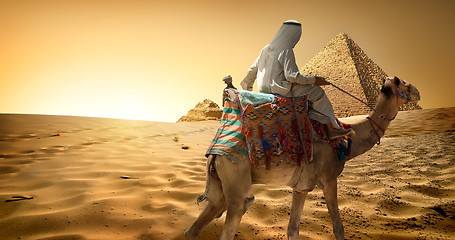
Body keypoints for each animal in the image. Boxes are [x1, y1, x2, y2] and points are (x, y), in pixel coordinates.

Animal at [184, 76, 420, 238]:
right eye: (403, 83)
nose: (417, 92)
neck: (347, 140)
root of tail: (215, 150)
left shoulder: (301, 187)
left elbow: (293, 229)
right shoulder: (329, 178)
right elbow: (338, 228)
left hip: (219, 184)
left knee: (196, 226)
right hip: (236, 176)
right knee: (237, 211)